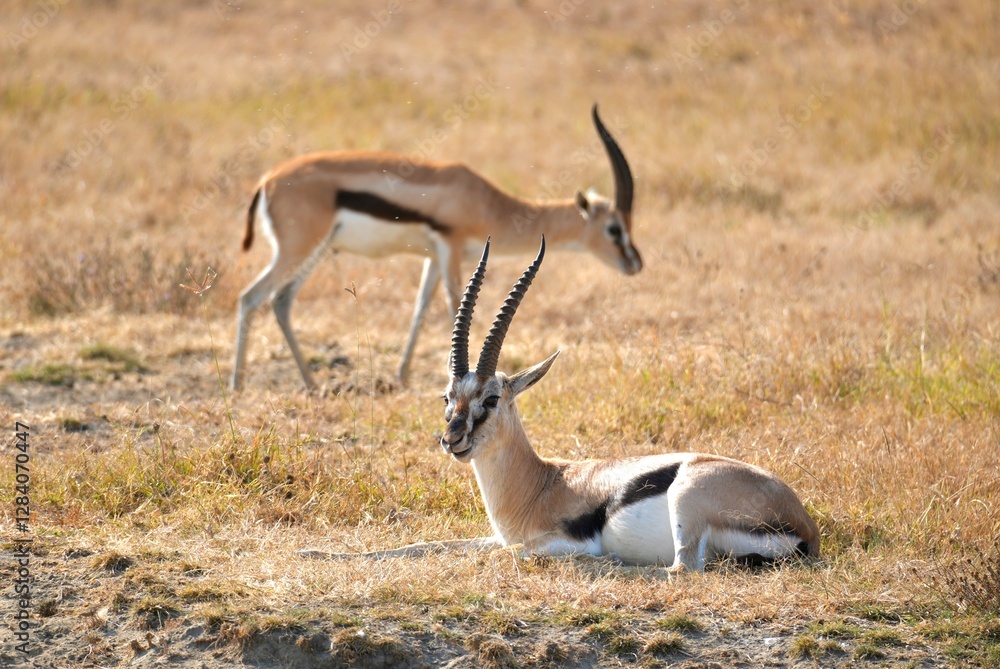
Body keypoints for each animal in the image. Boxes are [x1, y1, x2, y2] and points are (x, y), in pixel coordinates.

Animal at [231, 105, 641, 390]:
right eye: (614, 228)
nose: (636, 263)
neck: (484, 200)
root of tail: (267, 180)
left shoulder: (433, 257)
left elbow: (419, 310)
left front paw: (400, 377)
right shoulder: (450, 247)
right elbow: (452, 305)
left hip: (314, 252)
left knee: (280, 301)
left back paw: (311, 383)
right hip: (297, 250)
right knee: (251, 297)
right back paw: (237, 384)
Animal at [299, 238, 821, 571]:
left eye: (491, 398)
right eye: (448, 396)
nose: (452, 439)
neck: (540, 483)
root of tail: (804, 525)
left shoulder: (544, 543)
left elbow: (494, 555)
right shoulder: (496, 535)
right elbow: (422, 545)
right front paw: (316, 554)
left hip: (685, 500)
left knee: (679, 569)